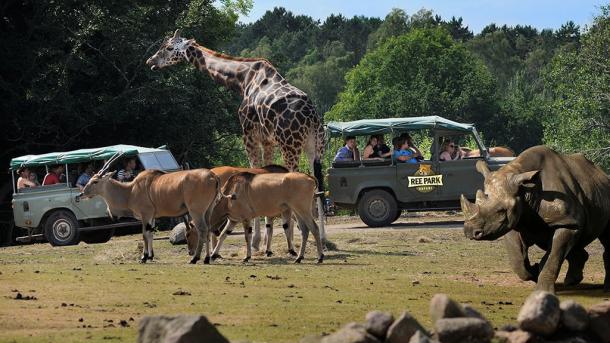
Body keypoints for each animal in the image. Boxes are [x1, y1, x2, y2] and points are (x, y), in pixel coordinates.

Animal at [80, 157, 218, 264]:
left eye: (95, 181)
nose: (82, 193)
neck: (130, 191)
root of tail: (213, 176)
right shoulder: (152, 216)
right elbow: (150, 233)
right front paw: (151, 256)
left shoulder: (145, 214)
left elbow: (144, 234)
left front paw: (144, 257)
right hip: (208, 210)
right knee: (208, 229)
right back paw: (206, 259)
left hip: (196, 211)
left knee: (202, 230)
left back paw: (195, 259)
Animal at [147, 29, 326, 250]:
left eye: (169, 47)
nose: (151, 61)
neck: (242, 80)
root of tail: (311, 116)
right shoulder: (267, 141)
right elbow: (265, 174)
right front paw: (265, 241)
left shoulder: (249, 135)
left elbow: (254, 172)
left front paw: (257, 242)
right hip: (315, 146)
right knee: (318, 183)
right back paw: (323, 240)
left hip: (290, 145)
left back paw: (301, 235)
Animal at [185, 173, 324, 264]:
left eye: (188, 234)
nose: (190, 252)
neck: (231, 192)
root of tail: (310, 178)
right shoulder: (233, 220)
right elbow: (223, 234)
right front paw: (214, 255)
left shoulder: (245, 219)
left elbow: (247, 237)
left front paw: (247, 257)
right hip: (297, 212)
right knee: (305, 230)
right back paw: (299, 258)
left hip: (302, 210)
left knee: (314, 228)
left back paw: (320, 257)